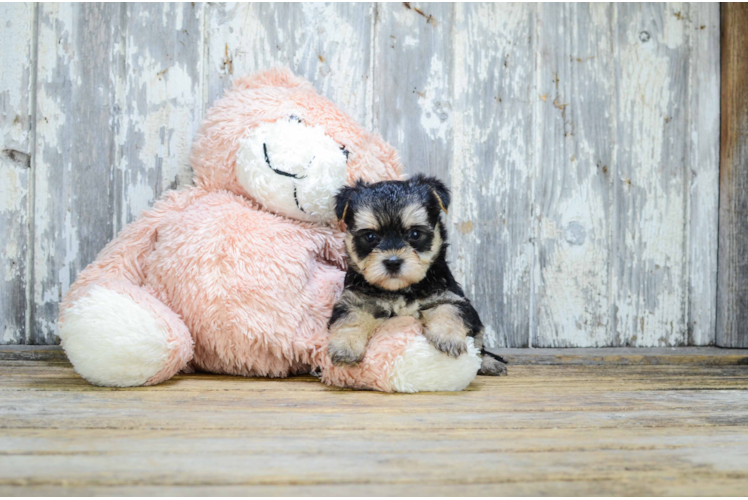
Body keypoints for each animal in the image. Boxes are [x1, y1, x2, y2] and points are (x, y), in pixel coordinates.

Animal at [328, 175, 508, 376]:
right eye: (370, 237)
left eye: (414, 234)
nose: (392, 262)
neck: (400, 290)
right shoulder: (357, 299)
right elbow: (351, 317)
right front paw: (345, 347)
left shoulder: (448, 295)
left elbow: (448, 308)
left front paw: (448, 338)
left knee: (479, 345)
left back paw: (488, 363)